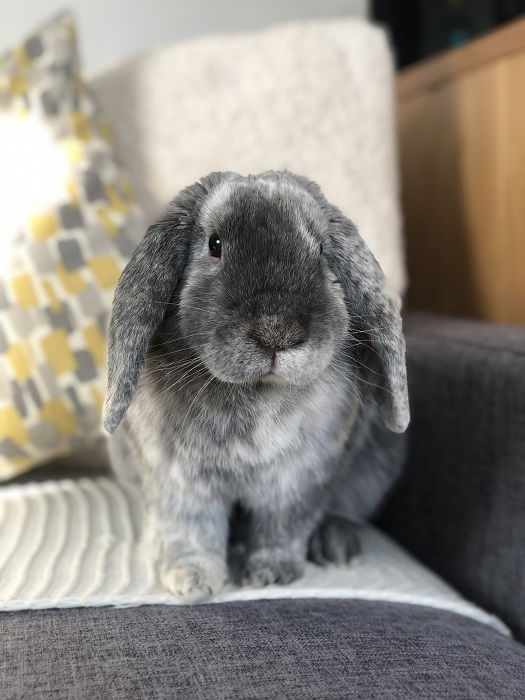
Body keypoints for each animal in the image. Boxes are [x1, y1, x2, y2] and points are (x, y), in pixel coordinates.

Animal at [103, 171, 410, 600]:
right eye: (215, 245)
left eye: (321, 249)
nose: (277, 332)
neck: (257, 391)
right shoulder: (178, 480)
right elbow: (190, 532)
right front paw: (192, 582)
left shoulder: (296, 480)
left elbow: (281, 530)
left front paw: (272, 574)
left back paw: (335, 544)